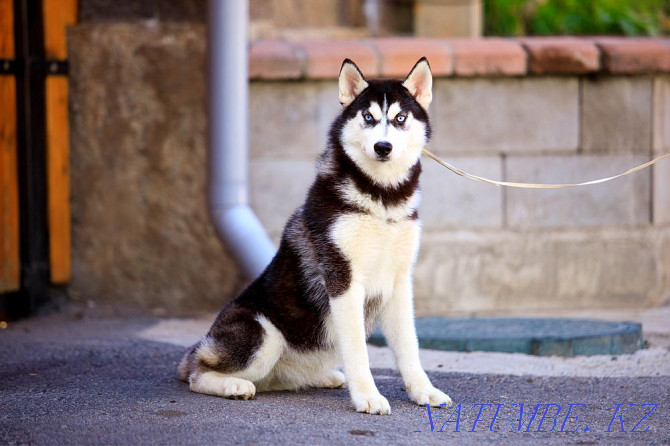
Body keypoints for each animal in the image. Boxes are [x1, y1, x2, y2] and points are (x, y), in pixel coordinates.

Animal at [178, 57, 454, 412]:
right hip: (264, 332)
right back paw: (233, 385)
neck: (382, 200)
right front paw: (367, 396)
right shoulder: (343, 279)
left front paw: (423, 391)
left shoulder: (399, 281)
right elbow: (358, 351)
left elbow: (409, 346)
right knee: (197, 372)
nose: (383, 146)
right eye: (368, 117)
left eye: (400, 118)